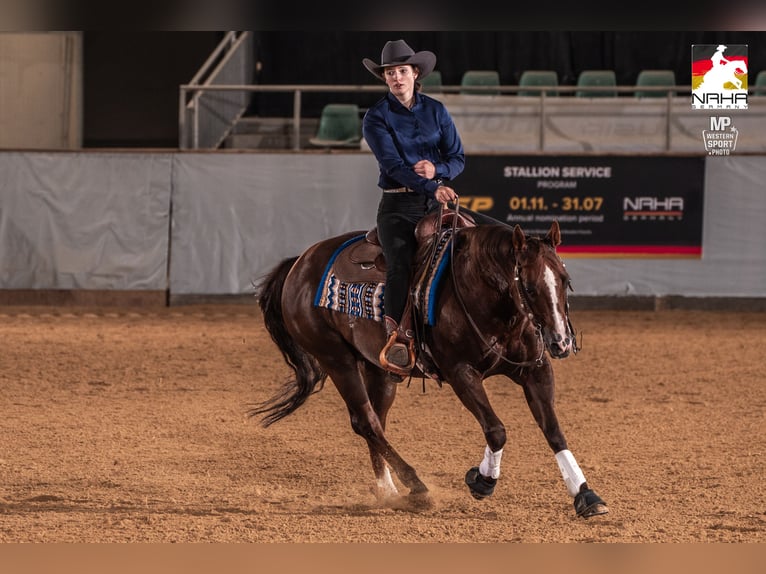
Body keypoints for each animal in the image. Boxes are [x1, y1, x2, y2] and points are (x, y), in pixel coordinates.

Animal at [251, 213, 607, 518]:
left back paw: (389, 490)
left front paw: (586, 495)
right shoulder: (461, 373)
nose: (561, 342)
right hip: (336, 359)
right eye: (530, 287)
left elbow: (554, 430)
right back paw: (417, 486)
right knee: (365, 422)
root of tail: (300, 262)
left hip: (379, 370)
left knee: (377, 422)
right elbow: (496, 430)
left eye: (565, 280)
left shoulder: (534, 370)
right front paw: (482, 481)